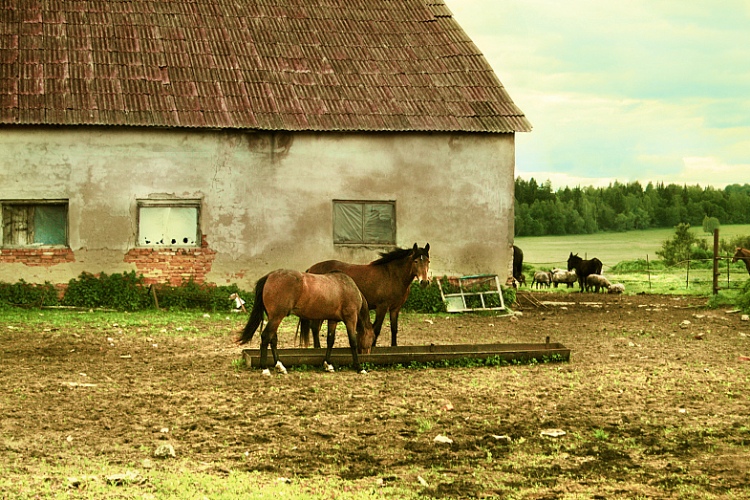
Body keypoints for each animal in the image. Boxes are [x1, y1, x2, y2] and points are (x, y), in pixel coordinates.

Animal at [236, 270, 374, 376]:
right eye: (372, 338)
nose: (367, 353)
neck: (346, 286)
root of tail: (269, 276)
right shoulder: (351, 318)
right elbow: (353, 342)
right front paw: (359, 367)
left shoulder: (332, 320)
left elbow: (330, 341)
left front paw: (327, 364)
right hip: (276, 317)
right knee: (265, 337)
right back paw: (265, 369)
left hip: (273, 318)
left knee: (272, 339)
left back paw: (280, 366)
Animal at [304, 242, 432, 348]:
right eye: (416, 261)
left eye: (428, 261)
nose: (424, 282)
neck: (393, 276)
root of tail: (311, 269)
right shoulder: (382, 307)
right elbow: (377, 329)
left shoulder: (395, 308)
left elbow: (394, 329)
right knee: (315, 328)